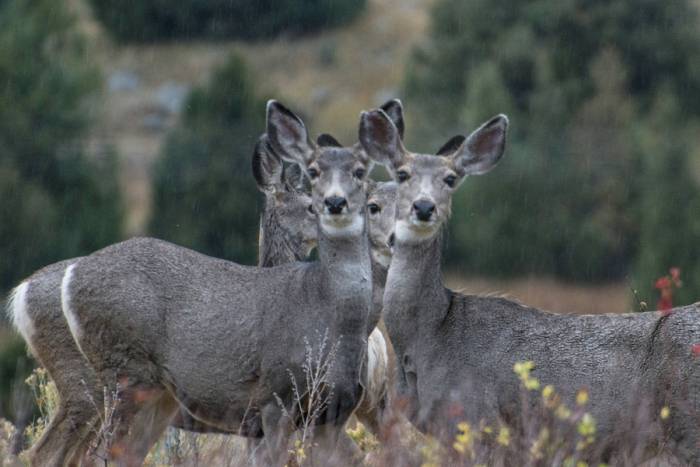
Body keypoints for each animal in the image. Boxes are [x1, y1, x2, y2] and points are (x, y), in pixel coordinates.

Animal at [359, 108, 700, 464]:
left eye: (450, 178)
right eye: (402, 174)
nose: (424, 207)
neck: (429, 335)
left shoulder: (478, 416)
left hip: (687, 424)